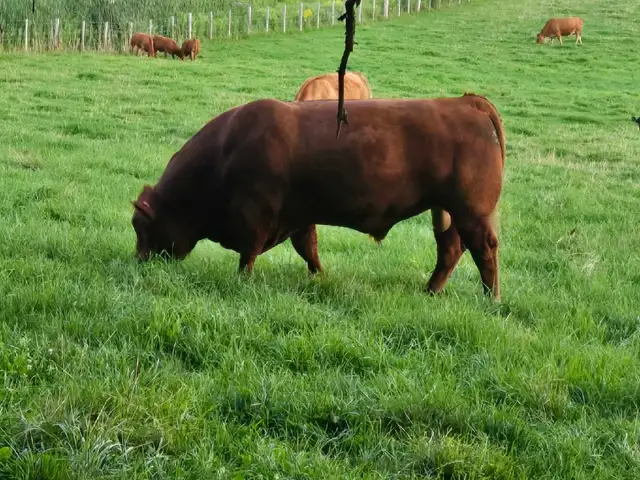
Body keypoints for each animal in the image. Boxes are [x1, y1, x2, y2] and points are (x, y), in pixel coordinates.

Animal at [131, 93, 507, 299]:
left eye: (141, 227)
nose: (138, 261)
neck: (225, 152)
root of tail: (465, 101)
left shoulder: (256, 216)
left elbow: (248, 255)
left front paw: (243, 281)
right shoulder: (298, 216)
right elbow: (308, 249)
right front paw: (320, 277)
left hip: (472, 212)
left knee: (484, 249)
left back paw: (491, 298)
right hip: (446, 211)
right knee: (451, 249)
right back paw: (430, 290)